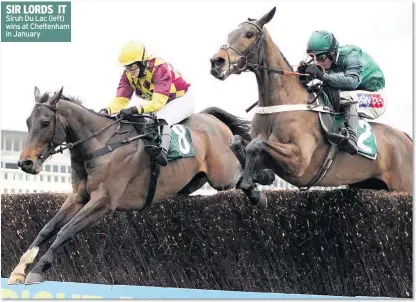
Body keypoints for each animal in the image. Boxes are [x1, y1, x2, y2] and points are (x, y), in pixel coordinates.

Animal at [8, 87, 252, 286]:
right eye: (28, 122)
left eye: (45, 123)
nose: (25, 163)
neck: (100, 145)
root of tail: (212, 119)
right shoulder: (78, 196)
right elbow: (48, 228)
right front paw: (19, 269)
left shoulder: (104, 201)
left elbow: (66, 230)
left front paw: (38, 269)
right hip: (194, 181)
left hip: (223, 176)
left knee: (241, 170)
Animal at [211, 7, 412, 206]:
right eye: (230, 34)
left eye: (249, 34)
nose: (216, 62)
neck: (282, 103)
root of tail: (406, 138)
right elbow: (237, 142)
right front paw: (259, 178)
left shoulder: (298, 161)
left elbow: (256, 145)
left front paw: (255, 188)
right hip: (369, 183)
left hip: (403, 184)